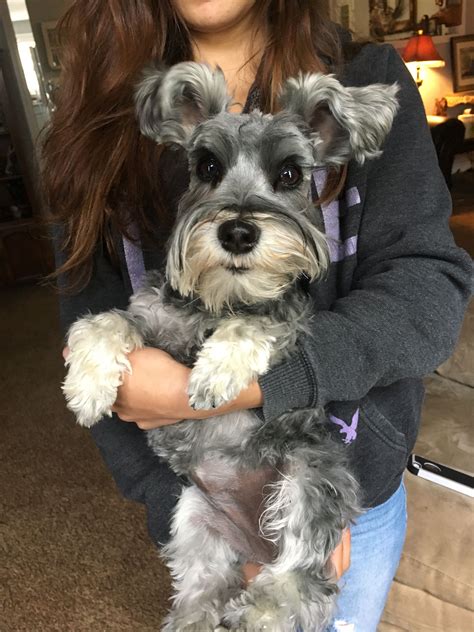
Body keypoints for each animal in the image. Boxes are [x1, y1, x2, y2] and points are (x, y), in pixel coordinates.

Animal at [61, 60, 398, 632]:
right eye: (207, 166)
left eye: (290, 174)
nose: (238, 232)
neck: (220, 300)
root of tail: (255, 548)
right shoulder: (150, 315)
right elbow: (103, 322)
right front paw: (87, 387)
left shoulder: (291, 320)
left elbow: (254, 326)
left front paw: (215, 372)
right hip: (194, 520)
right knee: (202, 589)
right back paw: (197, 618)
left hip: (311, 474)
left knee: (302, 575)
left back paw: (260, 609)